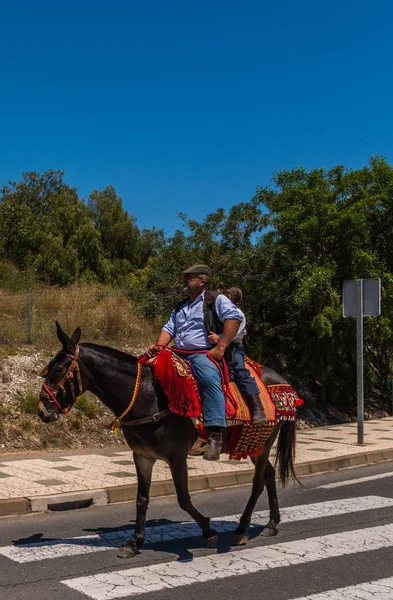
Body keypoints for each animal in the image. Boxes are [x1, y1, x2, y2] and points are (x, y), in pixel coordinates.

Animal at [38, 324, 296, 556]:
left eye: (58, 368)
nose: (42, 410)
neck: (148, 396)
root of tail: (284, 382)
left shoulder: (177, 457)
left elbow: (183, 498)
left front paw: (208, 531)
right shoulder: (142, 457)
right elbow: (142, 499)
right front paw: (135, 542)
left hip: (263, 443)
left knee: (258, 481)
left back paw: (242, 529)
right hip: (254, 444)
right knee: (269, 474)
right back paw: (271, 524)